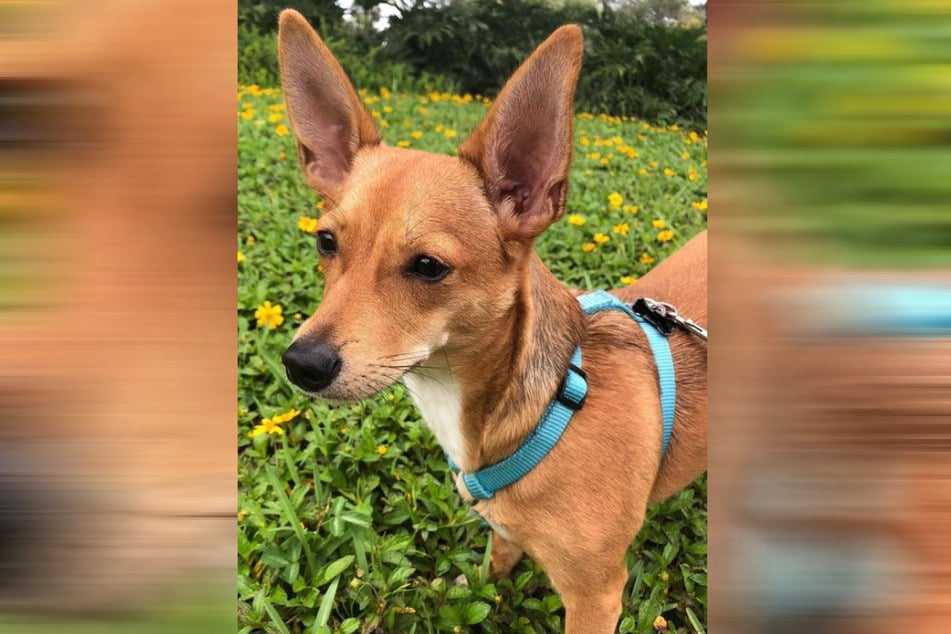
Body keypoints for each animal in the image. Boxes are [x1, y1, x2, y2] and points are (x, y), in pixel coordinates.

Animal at [276, 11, 708, 632]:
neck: (548, 403)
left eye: (428, 266)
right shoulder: (504, 533)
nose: (301, 364)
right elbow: (493, 565)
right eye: (326, 242)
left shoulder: (597, 595)